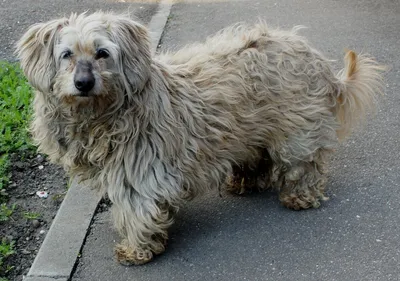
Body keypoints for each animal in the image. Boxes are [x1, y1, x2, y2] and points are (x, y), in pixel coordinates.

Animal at [15, 11, 384, 264]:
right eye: (66, 54)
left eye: (102, 53)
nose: (83, 83)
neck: (103, 113)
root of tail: (315, 58)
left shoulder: (139, 172)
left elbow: (136, 210)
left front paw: (137, 249)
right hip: (253, 130)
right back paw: (245, 181)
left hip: (297, 132)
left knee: (304, 165)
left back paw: (299, 195)